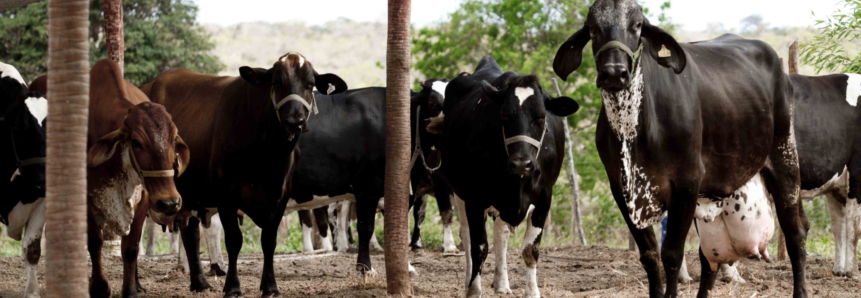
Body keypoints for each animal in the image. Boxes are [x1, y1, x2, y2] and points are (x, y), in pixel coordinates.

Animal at [139, 52, 344, 296]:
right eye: (276, 82)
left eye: (310, 84)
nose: (295, 121)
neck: (268, 157)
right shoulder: (226, 196)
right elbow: (234, 240)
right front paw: (233, 287)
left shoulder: (281, 196)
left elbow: (269, 240)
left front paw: (270, 286)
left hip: (188, 194)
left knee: (190, 234)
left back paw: (199, 283)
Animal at [426, 54, 580, 296]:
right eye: (505, 117)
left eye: (541, 117)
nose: (521, 164)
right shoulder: (474, 197)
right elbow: (479, 247)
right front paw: (474, 290)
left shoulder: (544, 196)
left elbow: (530, 250)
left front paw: (532, 292)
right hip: (459, 192)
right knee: (466, 234)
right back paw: (470, 281)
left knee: (501, 235)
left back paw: (501, 283)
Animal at [552, 1, 808, 296]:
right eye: (592, 28)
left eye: (637, 25)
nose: (614, 73)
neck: (634, 134)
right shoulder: (620, 189)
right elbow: (650, 255)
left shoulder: (686, 184)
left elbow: (672, 255)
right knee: (709, 260)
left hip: (785, 161)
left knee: (796, 234)